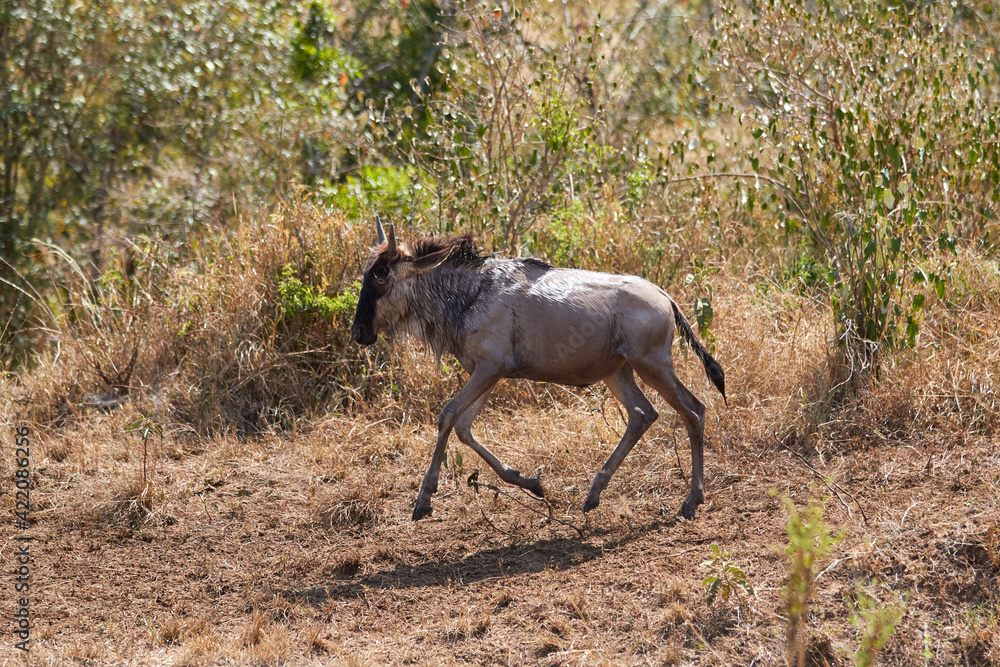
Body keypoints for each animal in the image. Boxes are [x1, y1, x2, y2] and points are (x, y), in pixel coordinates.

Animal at [351, 219, 726, 521]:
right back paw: (594, 494)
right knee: (642, 414)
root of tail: (665, 297)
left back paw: (691, 501)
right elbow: (464, 427)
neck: (471, 294)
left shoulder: (490, 369)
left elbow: (447, 415)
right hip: (618, 372)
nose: (359, 332)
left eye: (381, 275)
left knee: (694, 409)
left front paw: (424, 500)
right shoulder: (487, 373)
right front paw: (532, 484)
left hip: (651, 364)